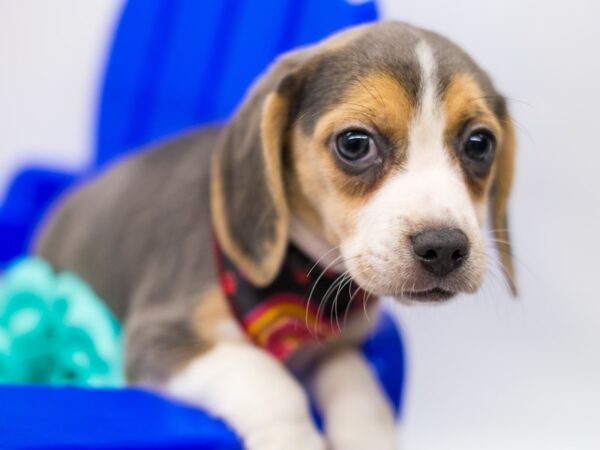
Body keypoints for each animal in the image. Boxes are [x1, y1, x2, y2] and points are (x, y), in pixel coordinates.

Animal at [36, 22, 516, 450]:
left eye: (479, 144)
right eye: (355, 143)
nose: (445, 247)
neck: (303, 282)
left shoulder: (338, 347)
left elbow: (362, 393)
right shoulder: (158, 338)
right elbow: (270, 383)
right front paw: (295, 440)